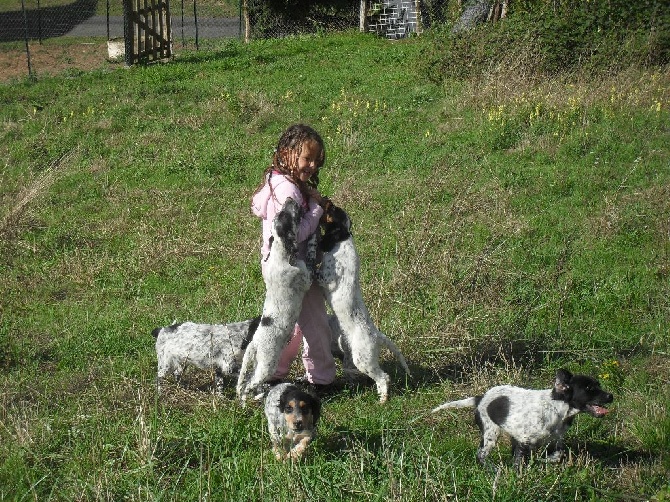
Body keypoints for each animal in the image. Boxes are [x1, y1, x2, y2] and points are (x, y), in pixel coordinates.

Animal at [236, 199, 316, 404]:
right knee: (248, 386)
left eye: (281, 213)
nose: (289, 199)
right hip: (267, 366)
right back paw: (255, 397)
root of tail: (254, 344)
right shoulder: (306, 276)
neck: (280, 253)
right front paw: (313, 238)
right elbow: (310, 259)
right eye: (288, 216)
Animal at [318, 204, 412, 404]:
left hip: (363, 359)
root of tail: (377, 335)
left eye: (332, 210)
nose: (326, 201)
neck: (344, 239)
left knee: (384, 377)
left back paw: (383, 400)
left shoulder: (326, 278)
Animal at [434, 368, 616, 466]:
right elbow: (519, 462)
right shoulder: (524, 439)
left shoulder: (556, 439)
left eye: (598, 385)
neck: (558, 408)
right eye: (589, 388)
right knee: (481, 455)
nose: (611, 396)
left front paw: (544, 461)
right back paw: (492, 469)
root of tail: (480, 398)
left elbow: (558, 454)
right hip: (491, 432)